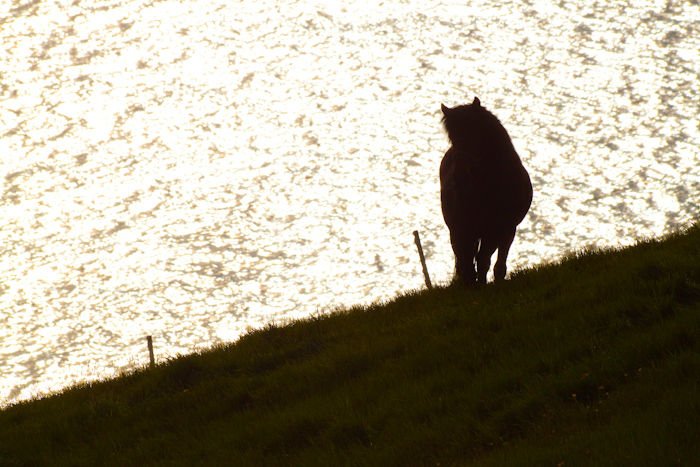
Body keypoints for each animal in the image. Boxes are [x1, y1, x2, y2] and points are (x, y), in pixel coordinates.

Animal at [440, 97, 532, 284]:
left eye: (474, 133)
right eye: (452, 138)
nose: (458, 177)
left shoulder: (501, 229)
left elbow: (487, 262)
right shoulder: (466, 229)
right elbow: (471, 262)